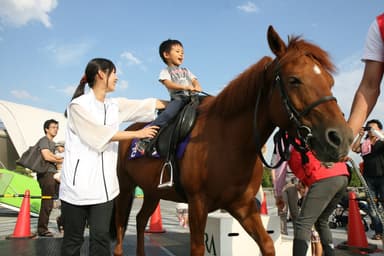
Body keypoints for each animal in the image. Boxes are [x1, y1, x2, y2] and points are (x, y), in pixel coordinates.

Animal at [112, 26, 354, 256]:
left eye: (330, 81)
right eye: (294, 80)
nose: (342, 138)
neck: (227, 141)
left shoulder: (243, 206)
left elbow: (267, 245)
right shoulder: (197, 203)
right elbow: (197, 249)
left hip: (152, 191)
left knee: (140, 220)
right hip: (125, 187)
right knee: (121, 225)